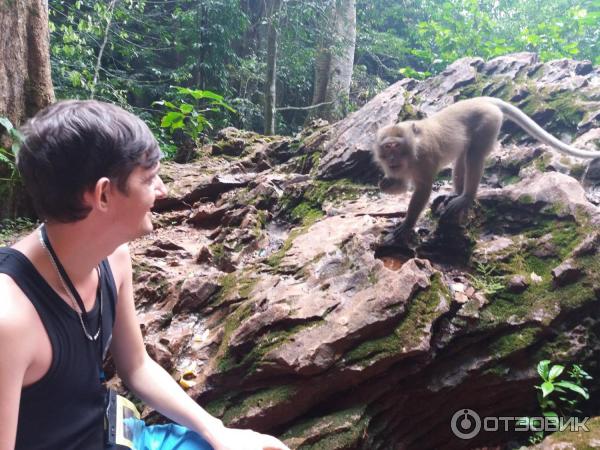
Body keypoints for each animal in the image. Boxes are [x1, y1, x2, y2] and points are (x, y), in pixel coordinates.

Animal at [372, 96, 596, 237]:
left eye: (396, 146)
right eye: (387, 147)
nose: (391, 157)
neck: (412, 152)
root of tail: (483, 100)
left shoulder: (425, 158)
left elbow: (423, 189)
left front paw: (407, 225)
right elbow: (402, 184)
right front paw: (386, 184)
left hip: (489, 121)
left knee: (474, 156)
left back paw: (466, 197)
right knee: (462, 157)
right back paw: (456, 193)